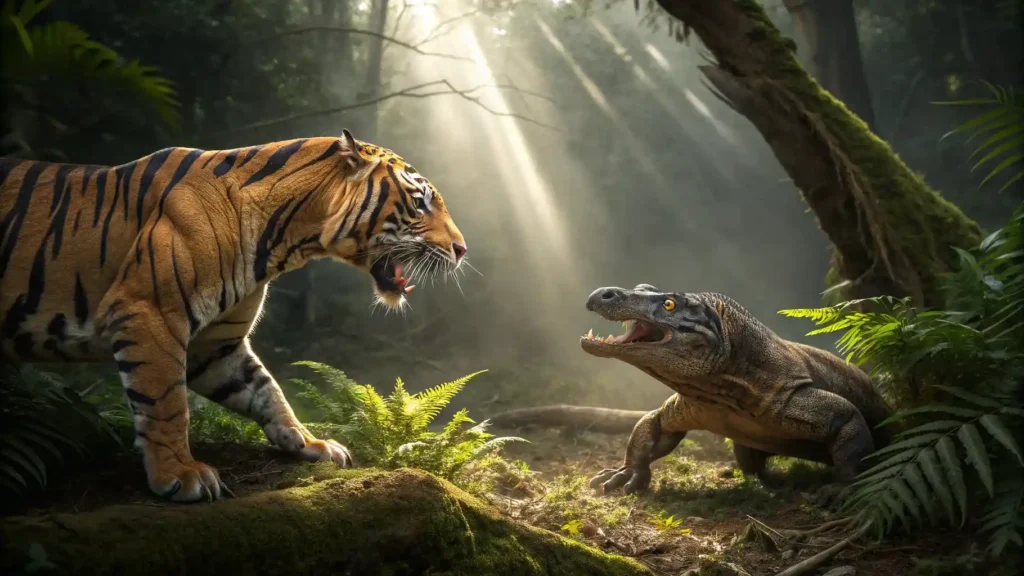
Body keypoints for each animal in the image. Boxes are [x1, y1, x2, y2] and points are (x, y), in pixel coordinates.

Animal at [0, 129, 468, 503]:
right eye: (419, 203)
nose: (462, 250)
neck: (284, 241)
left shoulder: (215, 343)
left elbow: (265, 389)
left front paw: (309, 443)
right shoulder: (149, 312)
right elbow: (166, 403)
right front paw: (180, 475)